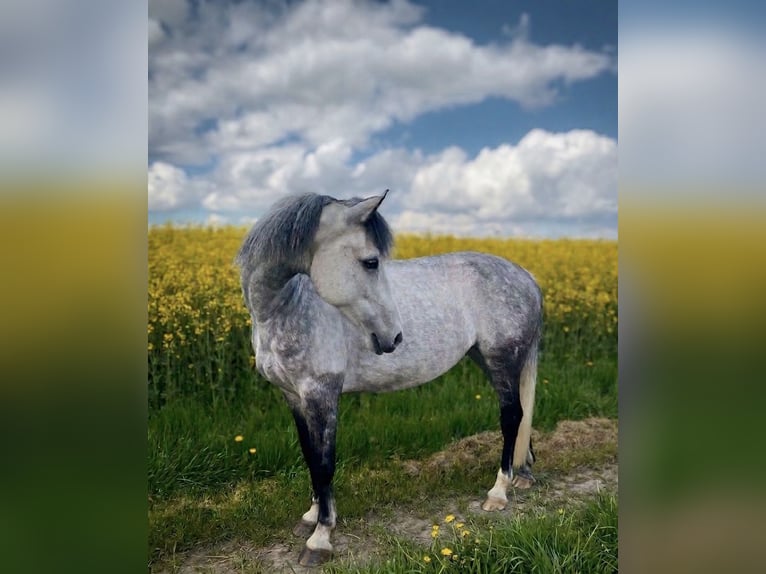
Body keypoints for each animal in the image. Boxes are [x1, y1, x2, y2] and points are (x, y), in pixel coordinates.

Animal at [236, 191, 542, 567]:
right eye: (371, 262)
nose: (393, 337)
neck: (286, 308)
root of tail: (525, 276)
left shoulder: (321, 394)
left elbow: (324, 463)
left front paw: (320, 538)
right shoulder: (293, 396)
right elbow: (310, 455)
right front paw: (311, 516)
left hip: (502, 357)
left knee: (512, 417)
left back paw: (498, 492)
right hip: (489, 359)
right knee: (522, 414)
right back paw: (523, 475)